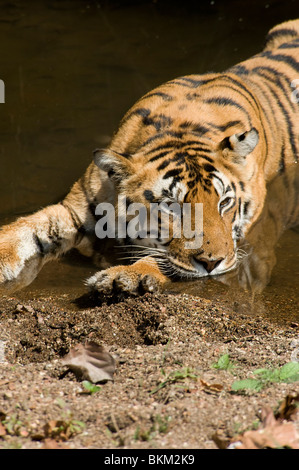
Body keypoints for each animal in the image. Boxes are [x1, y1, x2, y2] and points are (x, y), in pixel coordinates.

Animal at [0, 20, 298, 298]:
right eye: (171, 206)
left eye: (225, 203)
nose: (213, 263)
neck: (182, 127)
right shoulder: (76, 208)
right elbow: (29, 226)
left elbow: (162, 259)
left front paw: (124, 277)